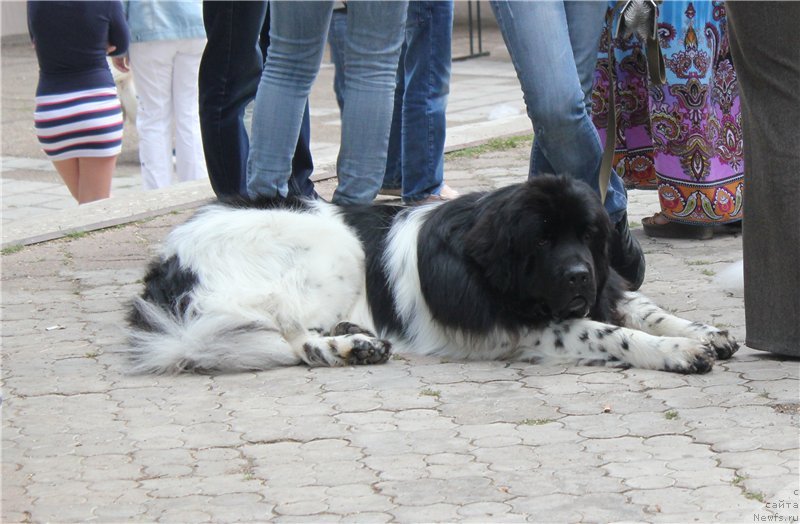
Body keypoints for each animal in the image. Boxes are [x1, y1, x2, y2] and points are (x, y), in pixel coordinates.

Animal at [126, 175, 736, 372]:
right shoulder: (522, 328)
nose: (577, 274)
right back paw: (349, 347)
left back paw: (356, 339)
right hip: (330, 249)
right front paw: (677, 352)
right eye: (541, 240)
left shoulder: (602, 289)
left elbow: (645, 309)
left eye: (588, 235)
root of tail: (170, 258)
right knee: (291, 335)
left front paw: (707, 332)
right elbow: (611, 332)